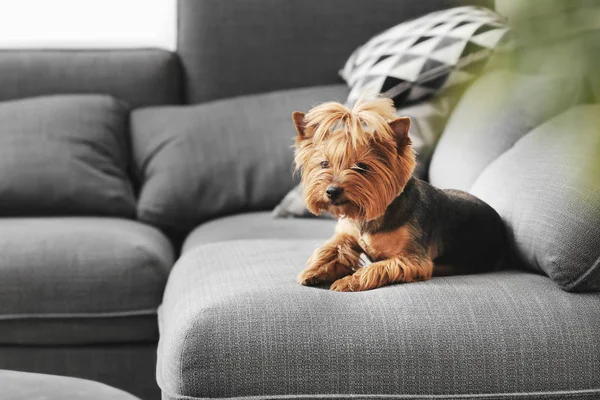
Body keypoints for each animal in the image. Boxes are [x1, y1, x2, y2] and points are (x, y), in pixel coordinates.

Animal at [290, 97, 506, 290]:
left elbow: (378, 268)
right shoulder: (347, 234)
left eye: (361, 167)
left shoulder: (413, 259)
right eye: (324, 164)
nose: (332, 191)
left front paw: (348, 281)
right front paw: (314, 270)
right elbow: (331, 248)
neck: (369, 215)